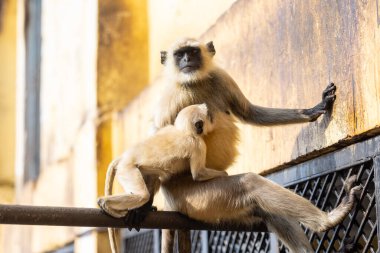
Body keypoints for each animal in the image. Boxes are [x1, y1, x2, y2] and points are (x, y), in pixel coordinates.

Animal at [98, 103, 229, 253]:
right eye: (203, 121)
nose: (210, 118)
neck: (182, 131)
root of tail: (125, 156)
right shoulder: (197, 144)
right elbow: (198, 174)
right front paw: (224, 174)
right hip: (126, 169)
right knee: (142, 195)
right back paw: (104, 203)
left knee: (152, 178)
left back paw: (141, 208)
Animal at [153, 38, 360, 253]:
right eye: (179, 55)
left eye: (192, 52)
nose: (186, 60)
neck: (194, 82)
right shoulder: (170, 99)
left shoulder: (221, 78)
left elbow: (249, 112)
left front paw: (313, 109)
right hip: (194, 198)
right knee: (249, 183)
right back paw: (329, 220)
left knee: (269, 210)